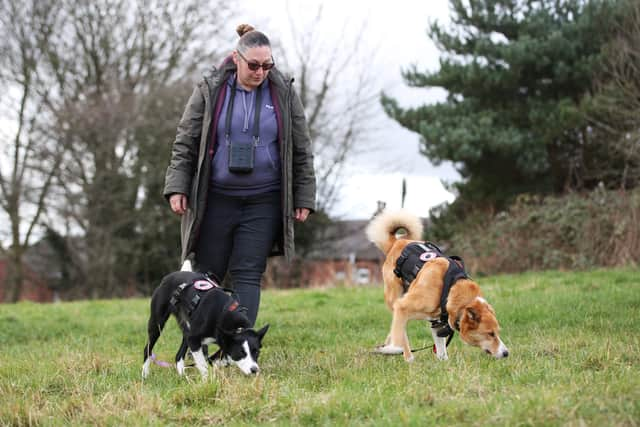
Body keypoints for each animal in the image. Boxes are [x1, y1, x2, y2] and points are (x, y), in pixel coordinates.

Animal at [368, 210, 508, 362]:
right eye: (490, 333)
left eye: (497, 332)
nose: (506, 353)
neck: (451, 289)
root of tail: (397, 242)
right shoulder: (403, 307)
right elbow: (400, 336)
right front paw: (406, 357)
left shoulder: (438, 323)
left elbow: (440, 349)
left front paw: (443, 362)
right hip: (395, 298)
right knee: (399, 330)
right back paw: (395, 351)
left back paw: (385, 348)